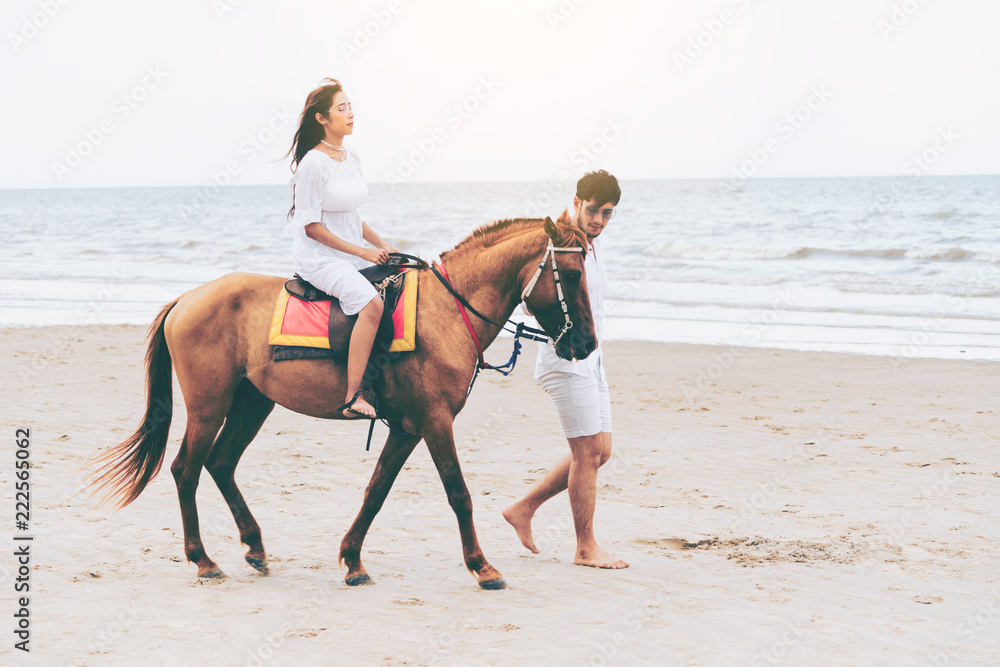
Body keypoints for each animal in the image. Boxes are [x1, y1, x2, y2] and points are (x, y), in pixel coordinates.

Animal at [88, 214, 592, 588]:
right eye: (571, 275)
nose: (586, 344)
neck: (445, 312)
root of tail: (187, 298)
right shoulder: (435, 422)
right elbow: (458, 493)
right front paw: (481, 567)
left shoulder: (408, 429)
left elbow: (376, 492)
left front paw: (352, 561)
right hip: (209, 407)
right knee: (186, 469)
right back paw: (203, 560)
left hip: (253, 404)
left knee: (221, 463)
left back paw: (254, 546)